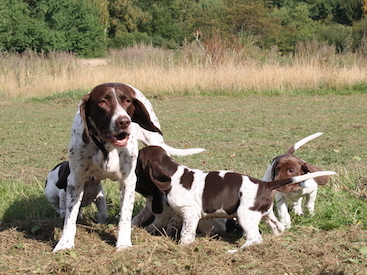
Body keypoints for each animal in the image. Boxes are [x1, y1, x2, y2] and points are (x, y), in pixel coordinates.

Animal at [52, 83, 206, 253]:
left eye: (127, 101)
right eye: (102, 102)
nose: (124, 121)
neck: (106, 148)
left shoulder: (128, 180)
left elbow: (125, 215)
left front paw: (123, 243)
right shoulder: (76, 180)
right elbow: (70, 216)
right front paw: (64, 243)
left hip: (155, 145)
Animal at [136, 147, 336, 254]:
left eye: (137, 161)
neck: (173, 173)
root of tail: (265, 184)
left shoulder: (190, 213)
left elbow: (186, 233)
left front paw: (184, 246)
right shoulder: (181, 213)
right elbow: (173, 225)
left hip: (244, 215)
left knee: (256, 238)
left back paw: (234, 251)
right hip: (264, 214)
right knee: (277, 227)